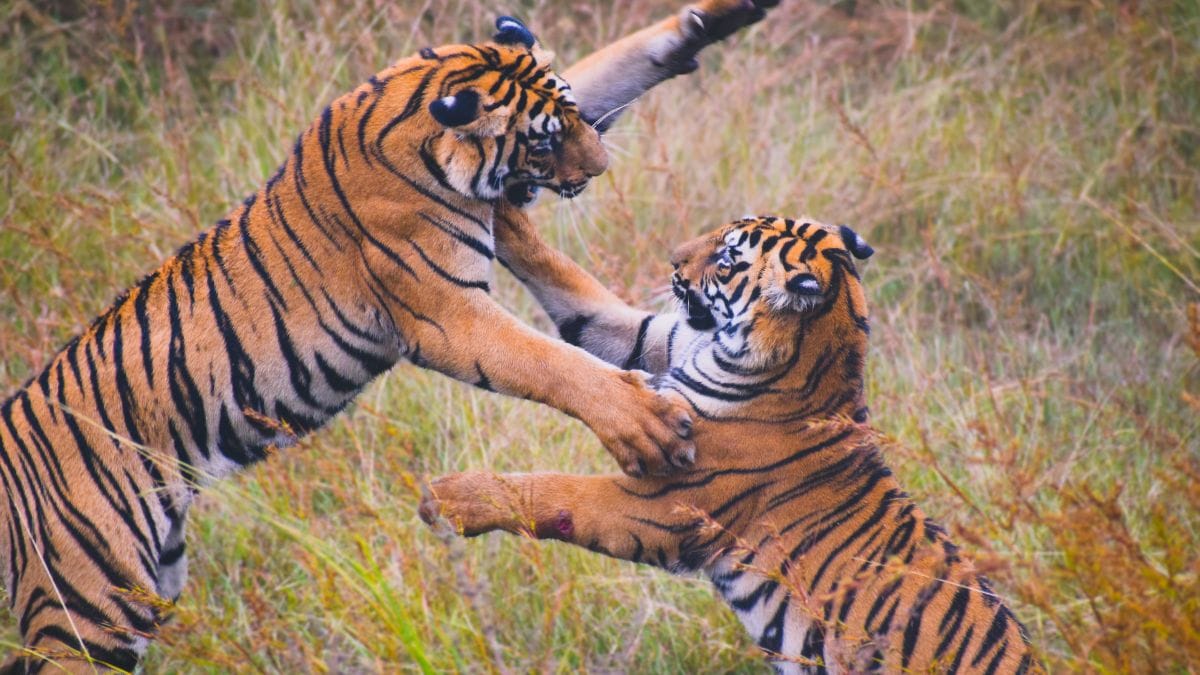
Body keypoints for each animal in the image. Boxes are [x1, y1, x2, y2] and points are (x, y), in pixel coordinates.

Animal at [0, 2, 779, 671]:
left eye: (573, 120)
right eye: (546, 141)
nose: (601, 168)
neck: (421, 109)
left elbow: (613, 64)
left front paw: (713, 18)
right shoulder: (448, 316)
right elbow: (549, 361)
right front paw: (647, 425)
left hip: (141, 593)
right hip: (87, 609)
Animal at [422, 211, 1039, 673]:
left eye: (726, 258)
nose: (673, 258)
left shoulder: (667, 501)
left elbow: (557, 493)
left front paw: (449, 498)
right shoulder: (659, 343)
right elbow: (572, 286)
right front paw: (506, 208)